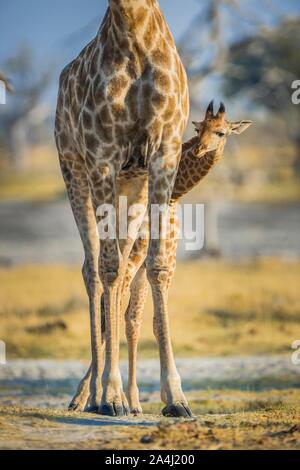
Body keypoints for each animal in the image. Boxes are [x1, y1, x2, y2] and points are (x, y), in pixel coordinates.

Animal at [54, 0, 190, 418]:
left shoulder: (164, 149)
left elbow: (156, 265)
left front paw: (175, 397)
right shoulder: (102, 154)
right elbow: (109, 268)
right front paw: (112, 394)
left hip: (132, 185)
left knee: (124, 274)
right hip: (73, 167)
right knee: (94, 269)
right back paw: (92, 395)